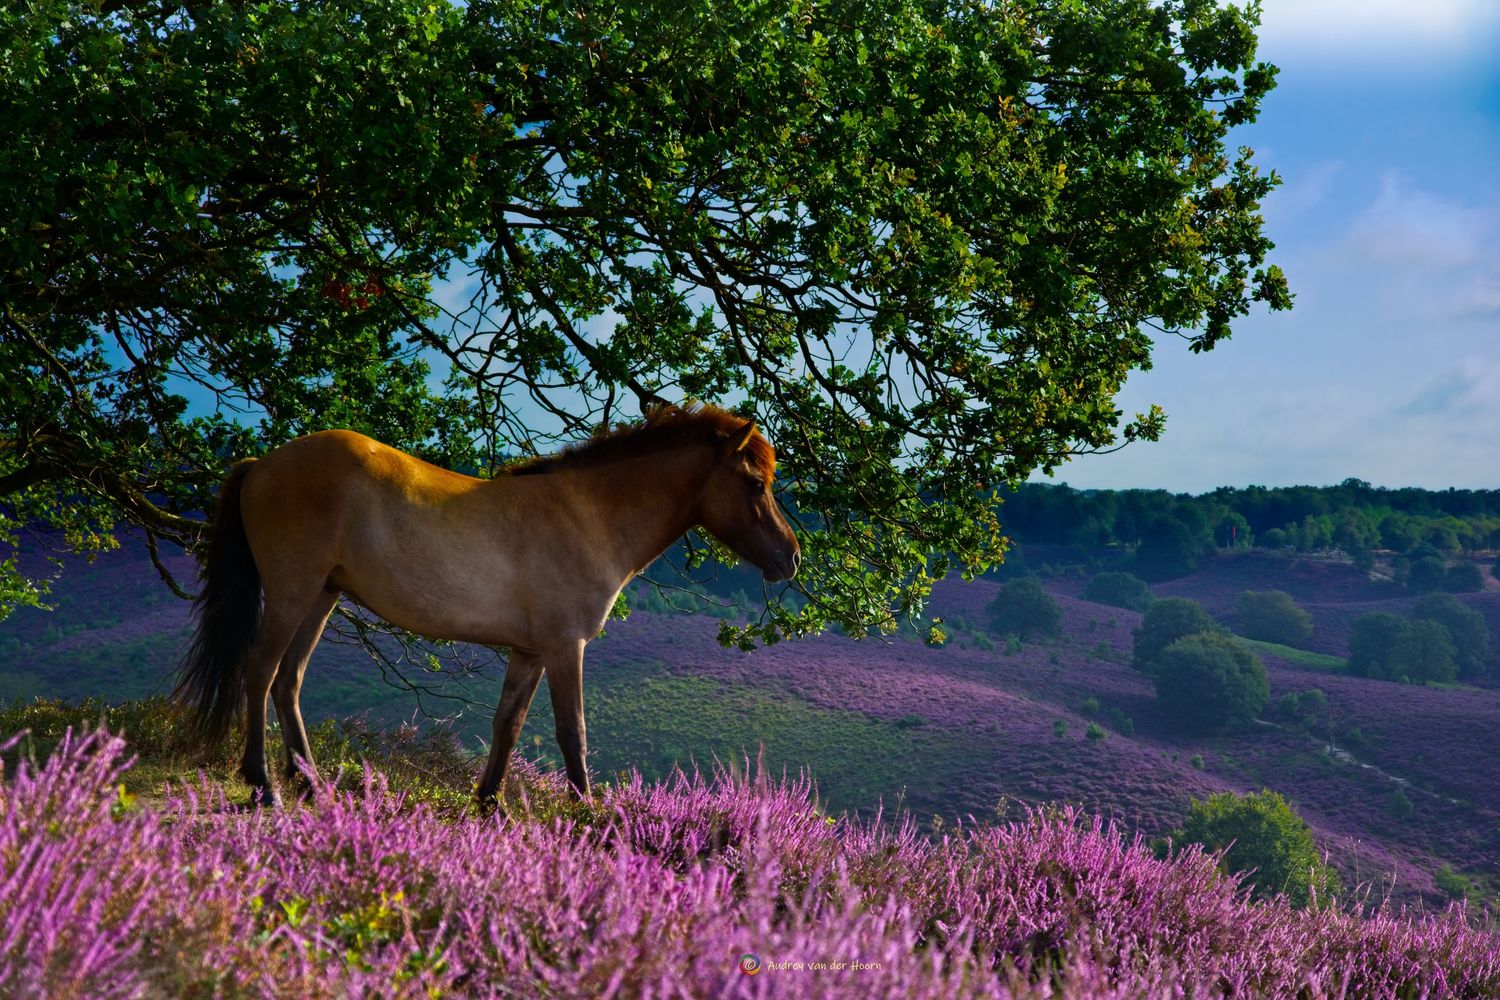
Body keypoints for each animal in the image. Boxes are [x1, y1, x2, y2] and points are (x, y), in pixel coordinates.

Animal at [173, 403, 800, 806]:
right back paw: (264, 785)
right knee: (260, 670)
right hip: (291, 590)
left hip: (321, 596)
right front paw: (589, 817)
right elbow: (572, 732)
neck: (589, 515)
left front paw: (489, 803)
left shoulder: (528, 652)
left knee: (289, 680)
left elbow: (508, 724)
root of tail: (262, 464)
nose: (790, 557)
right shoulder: (564, 646)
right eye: (755, 482)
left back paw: (308, 782)